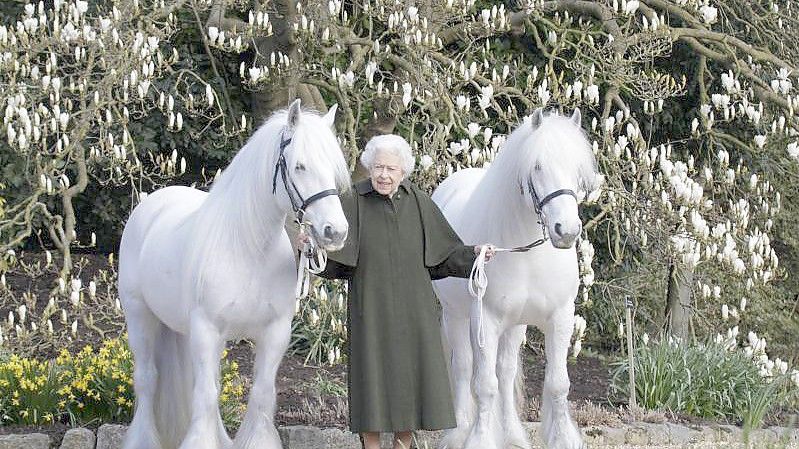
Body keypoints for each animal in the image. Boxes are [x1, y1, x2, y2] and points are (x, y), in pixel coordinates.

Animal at [118, 100, 350, 448]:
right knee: (148, 380)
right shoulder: (206, 329)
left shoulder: (274, 332)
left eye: (333, 168)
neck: (249, 249)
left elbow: (260, 393)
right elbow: (204, 395)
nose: (335, 231)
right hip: (141, 317)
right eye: (300, 166)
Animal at [432, 108, 600, 448]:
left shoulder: (561, 317)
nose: (566, 231)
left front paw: (562, 438)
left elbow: (557, 383)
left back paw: (512, 434)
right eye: (537, 166)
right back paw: (459, 432)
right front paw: (480, 439)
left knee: (506, 371)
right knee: (463, 368)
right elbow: (484, 385)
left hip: (515, 324)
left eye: (577, 169)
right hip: (456, 316)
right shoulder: (486, 319)